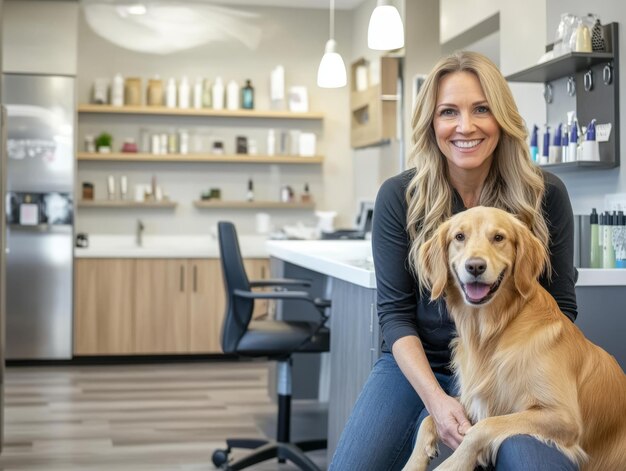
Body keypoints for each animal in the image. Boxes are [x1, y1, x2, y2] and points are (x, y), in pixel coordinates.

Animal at [400, 206, 624, 471]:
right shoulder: (476, 397)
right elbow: (430, 418)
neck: (492, 331)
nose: (475, 266)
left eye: (498, 238)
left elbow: (483, 427)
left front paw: (453, 464)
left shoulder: (563, 416)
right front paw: (414, 463)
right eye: (459, 237)